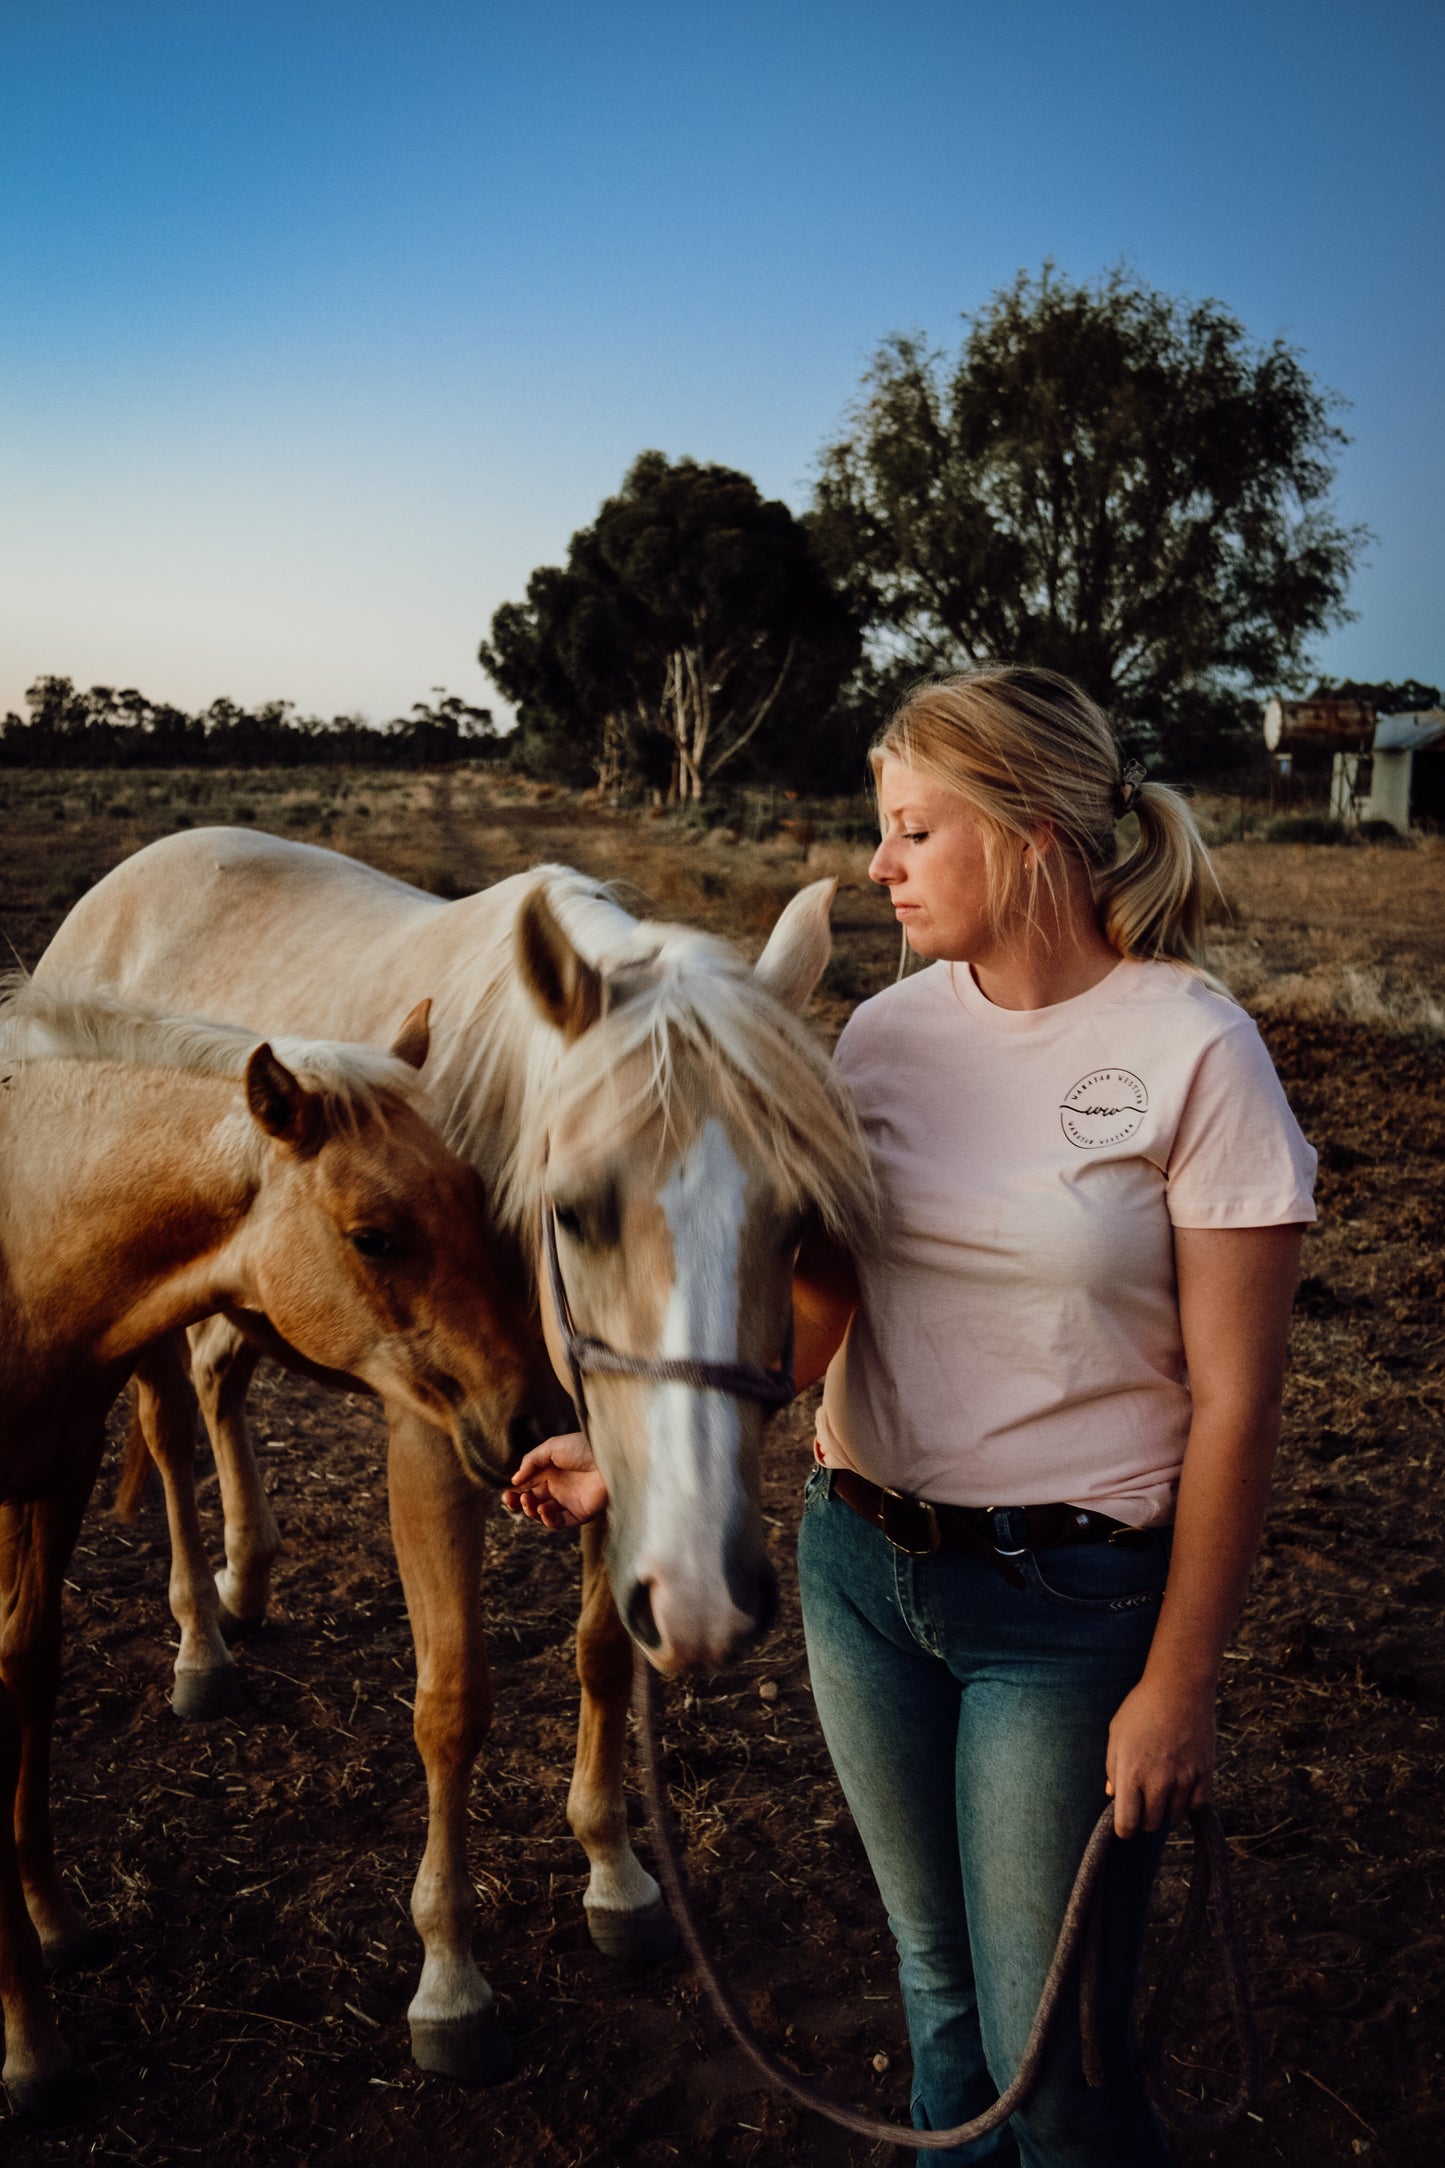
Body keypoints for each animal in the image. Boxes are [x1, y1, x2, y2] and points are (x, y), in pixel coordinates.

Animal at [0, 979, 539, 2115]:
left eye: (476, 1193)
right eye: (374, 1236)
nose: (534, 1417)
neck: (21, 1237)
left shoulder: (51, 1481)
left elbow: (28, 1676)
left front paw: (50, 1920)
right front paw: (26, 2039)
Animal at [39, 832, 875, 2081]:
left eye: (798, 1223)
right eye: (573, 1210)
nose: (711, 1600)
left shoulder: (609, 1472)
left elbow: (601, 1654)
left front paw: (616, 1876)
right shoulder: (435, 1451)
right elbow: (453, 1702)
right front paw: (448, 1977)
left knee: (221, 1382)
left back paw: (247, 1580)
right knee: (172, 1427)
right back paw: (199, 1642)